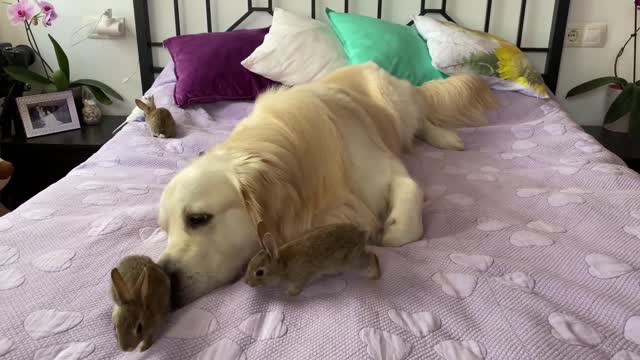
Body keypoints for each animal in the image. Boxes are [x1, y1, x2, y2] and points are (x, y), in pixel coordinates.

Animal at [159, 62, 496, 304]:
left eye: (198, 218)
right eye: (164, 231)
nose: (163, 280)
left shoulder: (386, 169)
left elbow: (408, 207)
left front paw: (393, 229)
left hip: (395, 103)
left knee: (419, 123)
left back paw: (445, 137)